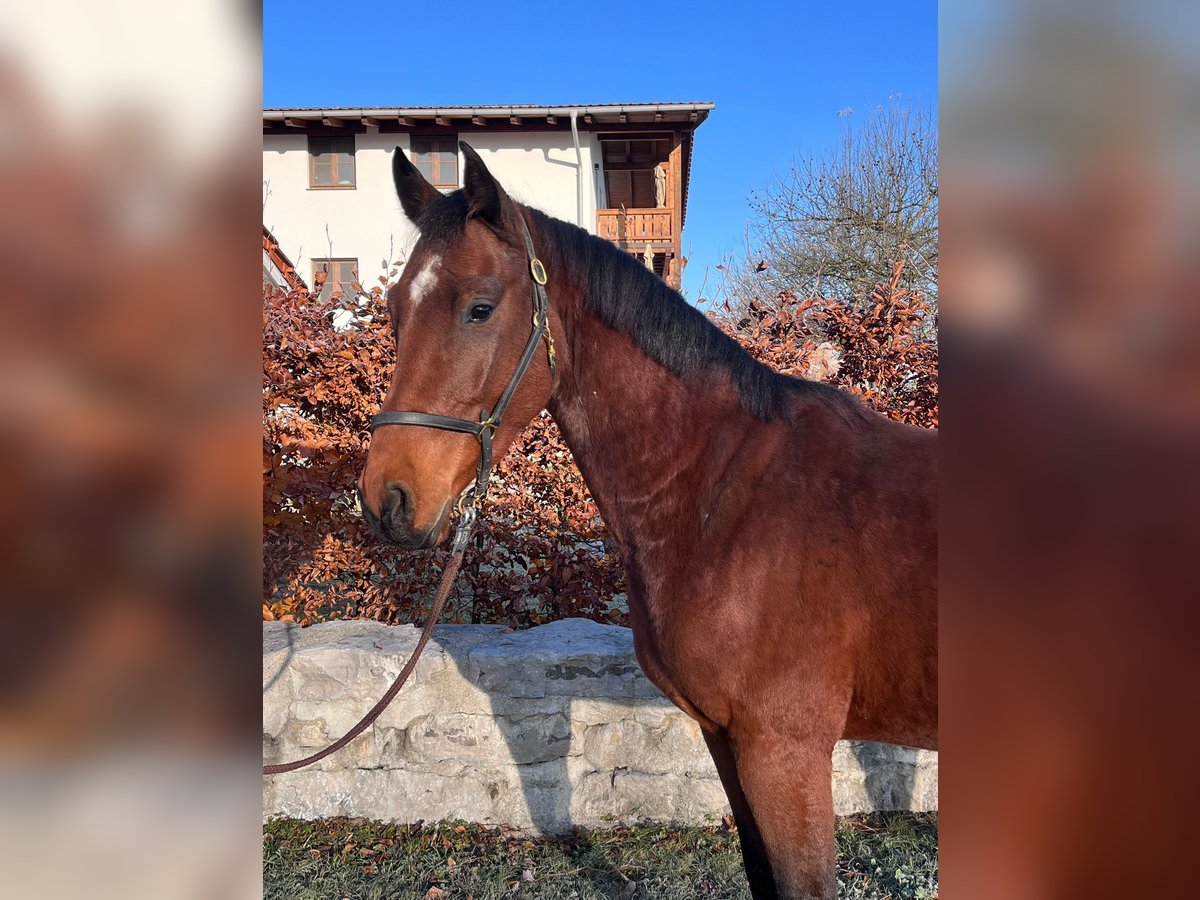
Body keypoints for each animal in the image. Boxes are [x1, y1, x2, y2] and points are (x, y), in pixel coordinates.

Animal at [358, 142, 938, 900]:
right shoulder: (726, 738)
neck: (723, 497)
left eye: (479, 308)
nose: (388, 499)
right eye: (396, 309)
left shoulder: (785, 750)